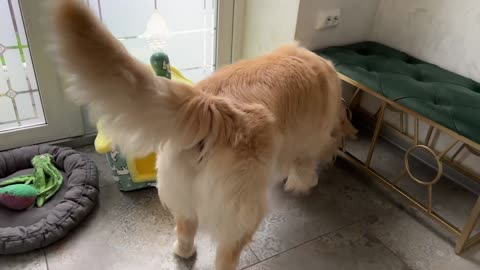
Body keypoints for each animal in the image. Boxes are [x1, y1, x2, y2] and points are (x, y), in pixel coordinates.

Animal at [49, 1, 356, 268]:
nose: (339, 150)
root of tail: (209, 106)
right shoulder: (308, 141)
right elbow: (303, 167)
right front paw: (305, 182)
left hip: (180, 189)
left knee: (185, 227)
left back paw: (183, 251)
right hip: (243, 210)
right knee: (226, 253)